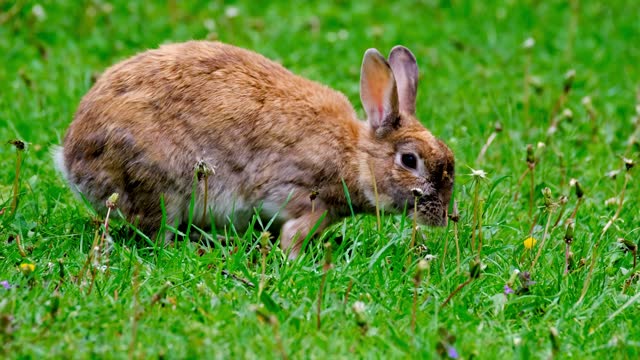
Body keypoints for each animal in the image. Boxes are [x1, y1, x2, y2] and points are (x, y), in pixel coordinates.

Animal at [55, 40, 456, 258]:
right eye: (409, 160)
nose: (443, 217)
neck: (351, 155)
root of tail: (72, 160)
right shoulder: (306, 200)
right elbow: (293, 236)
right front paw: (294, 260)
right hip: (162, 184)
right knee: (158, 233)